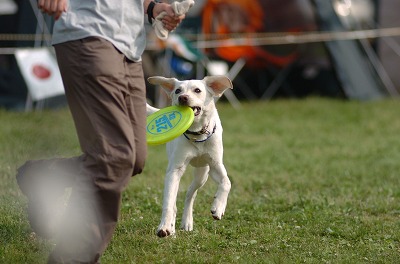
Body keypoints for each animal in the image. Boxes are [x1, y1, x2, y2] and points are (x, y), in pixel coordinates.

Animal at [147, 76, 233, 237]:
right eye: (177, 90)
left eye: (197, 90)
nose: (183, 97)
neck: (197, 134)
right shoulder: (174, 170)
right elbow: (168, 203)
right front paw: (164, 227)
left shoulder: (215, 165)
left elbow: (226, 182)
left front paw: (218, 207)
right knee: (177, 201)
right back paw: (172, 227)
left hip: (202, 174)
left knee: (190, 194)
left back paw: (187, 221)